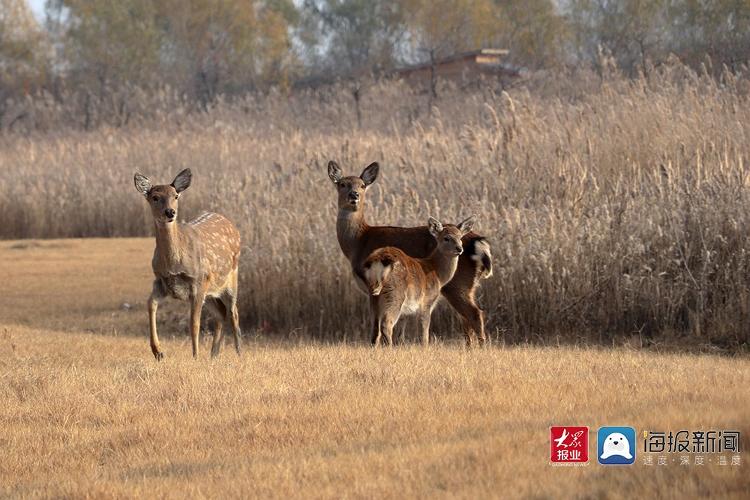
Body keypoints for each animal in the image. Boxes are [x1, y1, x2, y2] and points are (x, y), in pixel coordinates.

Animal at [134, 168, 242, 360]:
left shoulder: (198, 281)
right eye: (155, 197)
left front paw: (195, 356)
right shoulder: (162, 281)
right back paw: (214, 355)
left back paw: (238, 353)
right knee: (221, 314)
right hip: (212, 291)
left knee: (233, 312)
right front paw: (158, 351)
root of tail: (232, 225)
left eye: (176, 196)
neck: (174, 263)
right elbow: (150, 304)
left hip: (230, 279)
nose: (170, 212)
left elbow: (194, 323)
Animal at [364, 217, 476, 346]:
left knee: (374, 328)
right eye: (446, 238)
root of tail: (379, 260)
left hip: (373, 294)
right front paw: (425, 347)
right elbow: (424, 332)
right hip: (395, 294)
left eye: (460, 237)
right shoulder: (427, 301)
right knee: (386, 324)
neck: (437, 274)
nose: (459, 249)